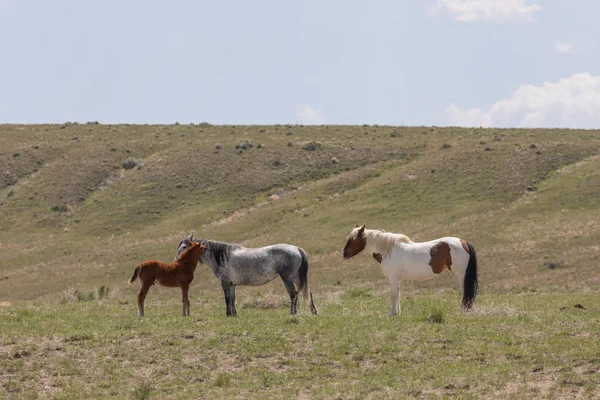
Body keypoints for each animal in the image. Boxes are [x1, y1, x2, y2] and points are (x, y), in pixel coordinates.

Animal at [175, 234, 318, 316]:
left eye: (184, 247)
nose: (176, 260)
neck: (222, 256)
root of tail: (297, 248)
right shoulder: (232, 284)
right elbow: (232, 299)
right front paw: (234, 314)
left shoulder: (225, 282)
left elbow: (227, 299)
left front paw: (228, 314)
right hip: (297, 277)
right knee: (306, 291)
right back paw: (313, 311)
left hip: (288, 278)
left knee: (293, 294)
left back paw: (293, 313)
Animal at [342, 225, 478, 316]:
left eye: (353, 239)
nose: (344, 254)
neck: (388, 251)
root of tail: (464, 242)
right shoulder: (397, 279)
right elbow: (398, 294)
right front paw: (398, 312)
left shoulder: (392, 277)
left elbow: (393, 294)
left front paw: (392, 313)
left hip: (460, 274)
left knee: (465, 292)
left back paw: (463, 311)